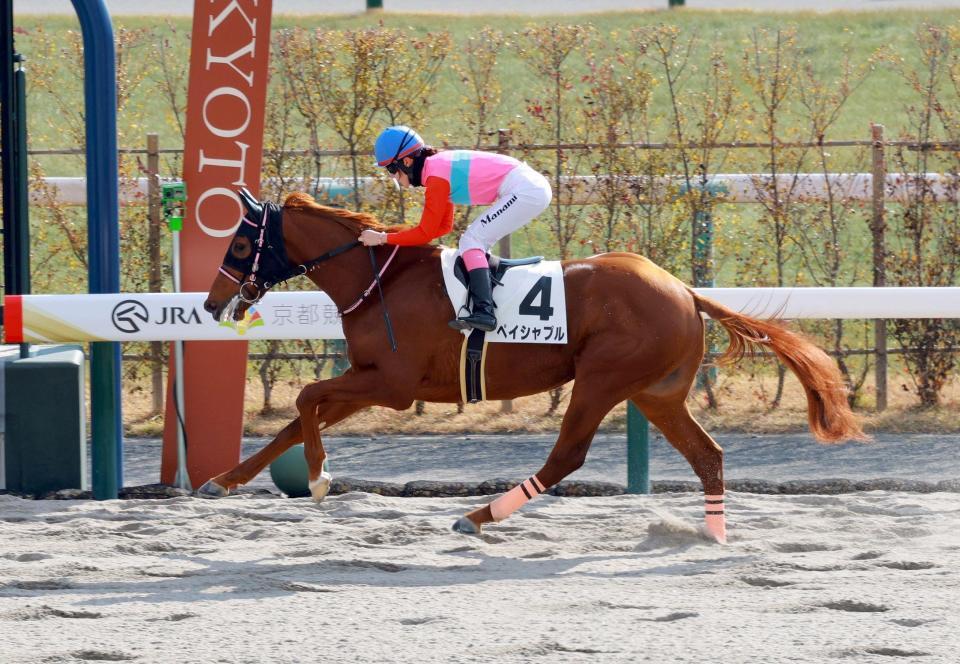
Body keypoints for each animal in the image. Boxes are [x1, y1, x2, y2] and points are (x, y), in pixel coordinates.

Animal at [200, 190, 865, 543]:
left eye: (241, 244)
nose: (210, 303)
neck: (379, 281)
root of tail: (684, 290)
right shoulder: (370, 380)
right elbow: (296, 418)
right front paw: (224, 480)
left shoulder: (389, 383)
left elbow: (305, 399)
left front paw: (317, 478)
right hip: (656, 393)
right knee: (708, 456)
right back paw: (713, 534)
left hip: (602, 378)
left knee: (566, 456)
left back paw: (478, 515)